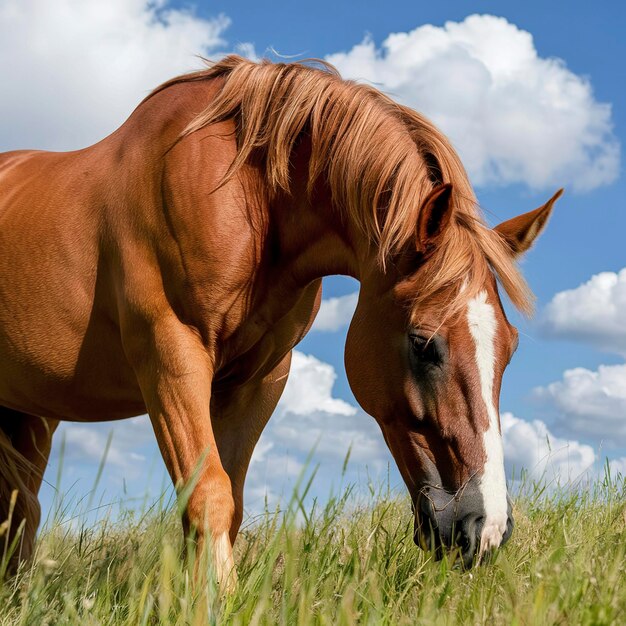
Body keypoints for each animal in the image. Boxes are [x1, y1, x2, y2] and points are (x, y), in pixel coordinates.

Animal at [0, 56, 560, 584]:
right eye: (423, 343)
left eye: (510, 348)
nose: (485, 528)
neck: (242, 196)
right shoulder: (170, 355)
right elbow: (209, 496)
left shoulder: (257, 379)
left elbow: (230, 502)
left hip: (32, 413)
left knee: (19, 513)